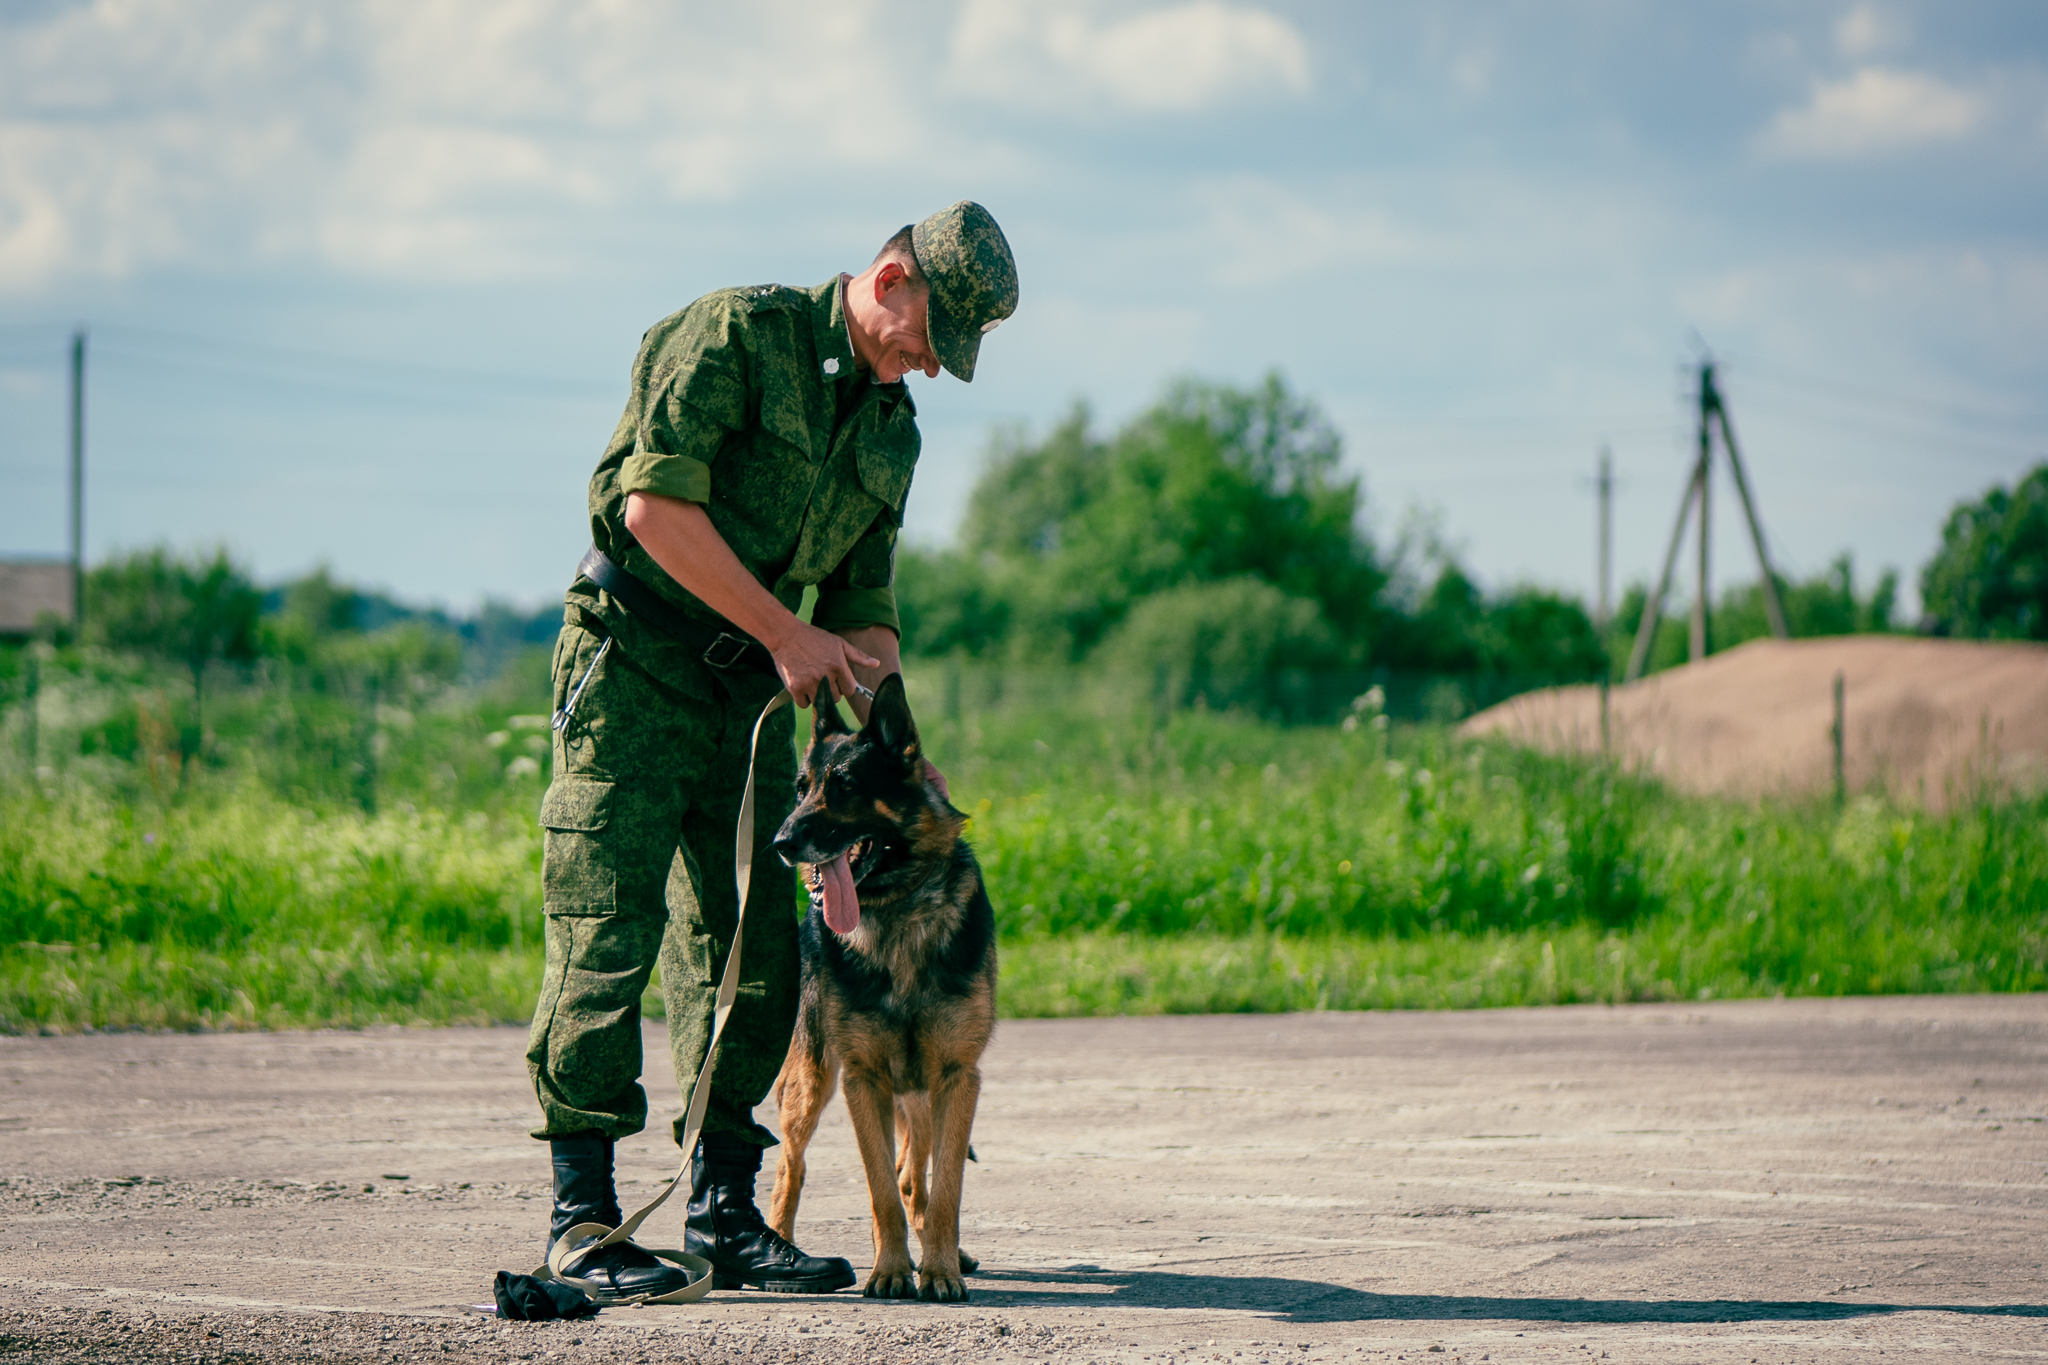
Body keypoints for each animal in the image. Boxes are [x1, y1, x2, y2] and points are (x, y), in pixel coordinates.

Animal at [765, 671, 995, 1301]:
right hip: (812, 1084)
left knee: (914, 1176)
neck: (899, 915)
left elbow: (945, 1192)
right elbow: (877, 1192)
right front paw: (890, 1269)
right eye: (801, 788)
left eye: (844, 786)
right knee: (791, 1169)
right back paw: (777, 1252)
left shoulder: (956, 1078)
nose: (781, 843)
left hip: (920, 1097)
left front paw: (938, 1268)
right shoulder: (862, 1080)